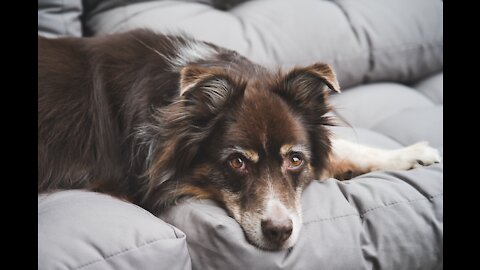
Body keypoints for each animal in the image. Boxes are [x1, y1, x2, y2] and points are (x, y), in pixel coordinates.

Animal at [38, 29, 442, 251]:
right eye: (237, 162)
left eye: (295, 159)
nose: (279, 233)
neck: (173, 105)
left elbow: (341, 148)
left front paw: (410, 155)